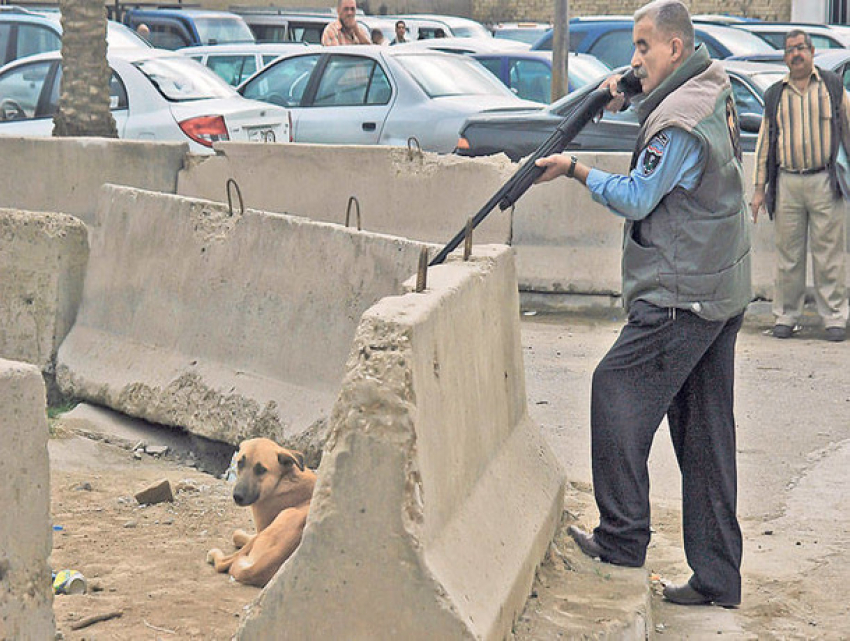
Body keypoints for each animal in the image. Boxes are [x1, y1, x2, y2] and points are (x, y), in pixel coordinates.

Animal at [207, 440, 316, 584]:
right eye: (240, 463)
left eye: (261, 470)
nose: (237, 496)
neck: (283, 480)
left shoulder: (261, 529)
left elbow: (237, 536)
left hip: (285, 514)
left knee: (225, 563)